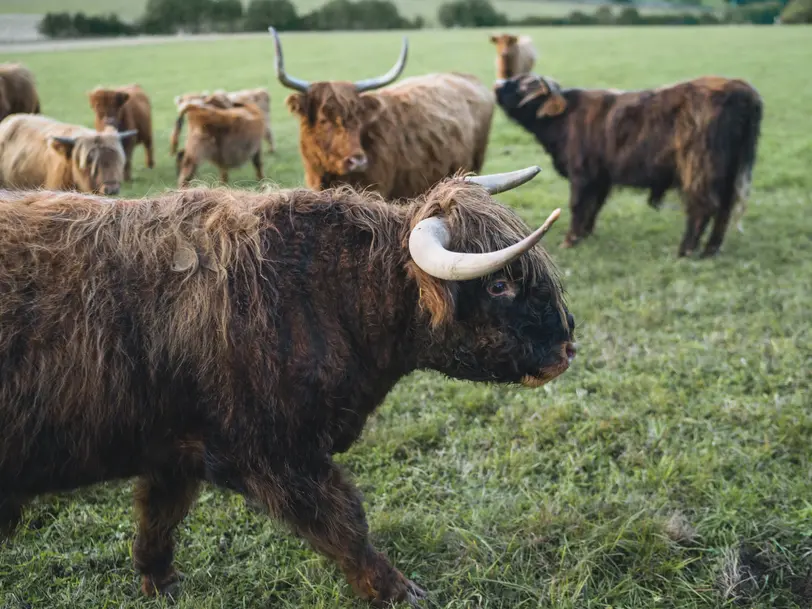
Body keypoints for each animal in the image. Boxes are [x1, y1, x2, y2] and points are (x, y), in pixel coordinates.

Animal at [0, 166, 576, 608]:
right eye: (499, 285)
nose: (567, 347)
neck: (326, 295)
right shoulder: (274, 454)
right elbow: (346, 522)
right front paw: (398, 590)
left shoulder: (176, 443)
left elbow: (159, 515)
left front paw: (159, 581)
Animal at [492, 73, 764, 256]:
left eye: (523, 85)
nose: (498, 84)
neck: (563, 121)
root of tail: (741, 88)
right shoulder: (600, 177)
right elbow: (593, 207)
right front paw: (585, 234)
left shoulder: (582, 174)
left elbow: (578, 205)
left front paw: (570, 240)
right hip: (728, 172)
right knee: (724, 209)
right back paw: (710, 249)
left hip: (699, 167)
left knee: (702, 207)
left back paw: (685, 250)